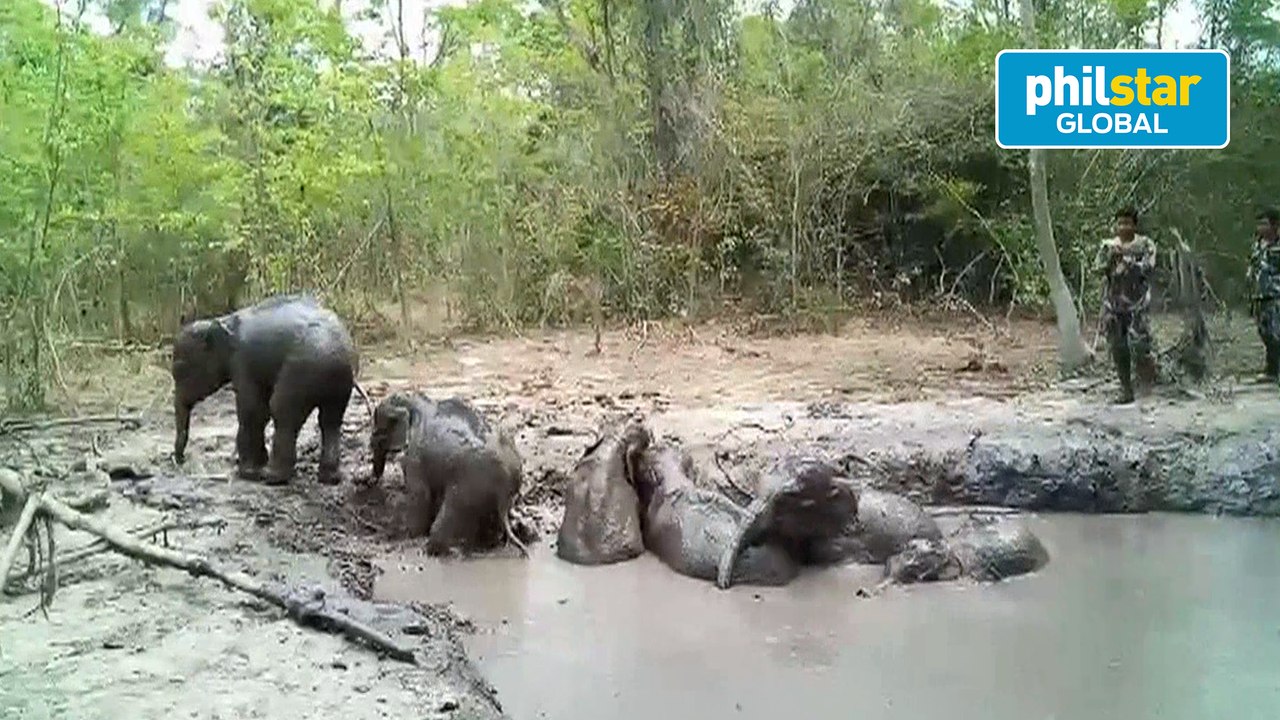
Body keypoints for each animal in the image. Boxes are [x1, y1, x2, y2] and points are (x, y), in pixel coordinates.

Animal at [171, 294, 361, 486]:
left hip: (300, 373)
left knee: (283, 413)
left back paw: (272, 476)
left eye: (179, 369)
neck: (224, 321)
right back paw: (329, 477)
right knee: (330, 420)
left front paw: (247, 472)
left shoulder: (242, 361)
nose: (179, 459)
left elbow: (253, 410)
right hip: (340, 386)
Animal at [369, 391, 527, 557]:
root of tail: (505, 486)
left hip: (469, 485)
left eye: (378, 430)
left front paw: (409, 534)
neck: (415, 399)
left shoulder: (415, 457)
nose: (371, 481)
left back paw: (437, 549)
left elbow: (420, 495)